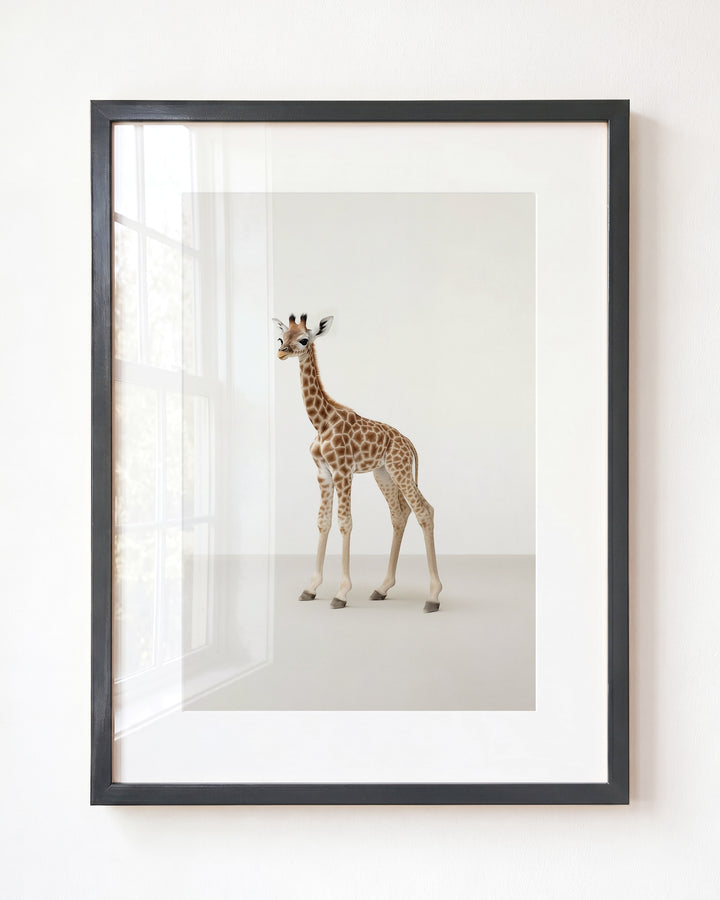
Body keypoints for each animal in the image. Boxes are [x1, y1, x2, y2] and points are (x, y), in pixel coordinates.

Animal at [273, 313, 442, 613]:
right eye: (281, 338)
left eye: (303, 339)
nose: (281, 352)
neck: (321, 422)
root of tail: (408, 442)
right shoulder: (323, 473)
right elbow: (323, 521)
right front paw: (310, 588)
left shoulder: (343, 471)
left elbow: (345, 522)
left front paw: (341, 593)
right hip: (383, 473)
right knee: (400, 513)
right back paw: (382, 588)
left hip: (399, 469)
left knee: (424, 510)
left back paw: (433, 597)